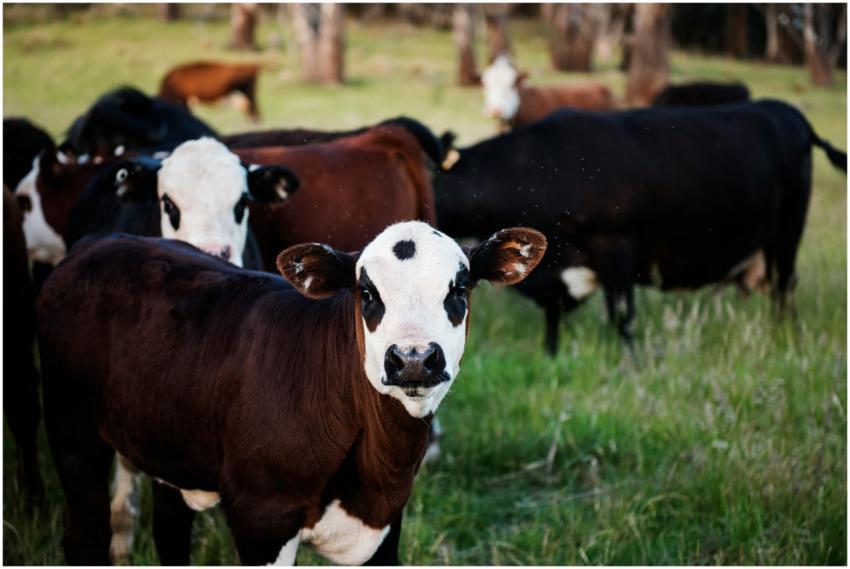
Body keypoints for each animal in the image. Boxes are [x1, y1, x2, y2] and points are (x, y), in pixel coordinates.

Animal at [37, 221, 547, 565]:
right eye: (367, 292)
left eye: (458, 288)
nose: (414, 357)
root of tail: (100, 241)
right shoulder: (261, 518)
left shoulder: (386, 523)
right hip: (72, 433)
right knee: (86, 533)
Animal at [435, 99, 846, 354]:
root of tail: (787, 112)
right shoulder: (553, 274)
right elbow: (552, 317)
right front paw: (550, 355)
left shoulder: (616, 249)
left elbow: (622, 317)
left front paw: (627, 366)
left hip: (786, 236)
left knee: (784, 290)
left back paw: (784, 337)